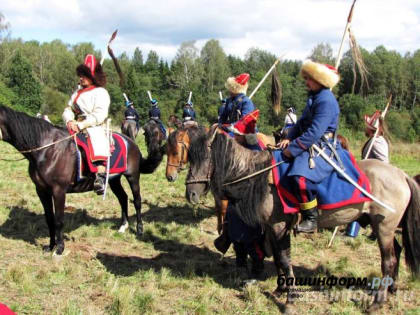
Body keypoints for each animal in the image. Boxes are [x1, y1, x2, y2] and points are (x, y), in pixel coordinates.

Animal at [0, 106, 164, 256]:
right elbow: (49, 219)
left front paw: (59, 249)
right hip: (114, 180)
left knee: (137, 200)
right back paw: (123, 227)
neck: (46, 149)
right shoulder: (41, 191)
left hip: (132, 176)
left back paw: (139, 230)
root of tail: (131, 142)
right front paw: (51, 246)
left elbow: (58, 220)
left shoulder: (58, 191)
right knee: (123, 198)